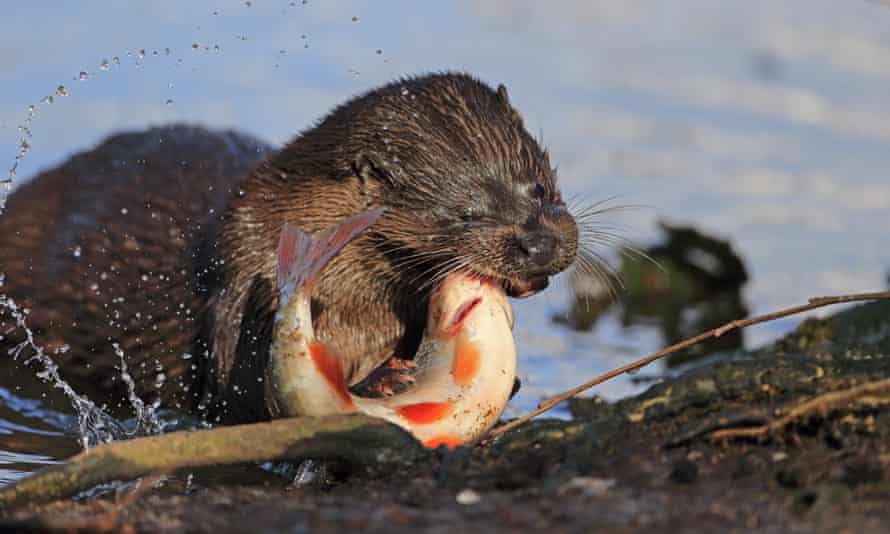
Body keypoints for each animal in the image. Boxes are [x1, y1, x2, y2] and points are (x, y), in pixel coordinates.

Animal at [0, 73, 576, 426]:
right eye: (466, 213)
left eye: (539, 186)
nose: (539, 243)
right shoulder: (239, 283)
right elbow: (239, 396)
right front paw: (385, 379)